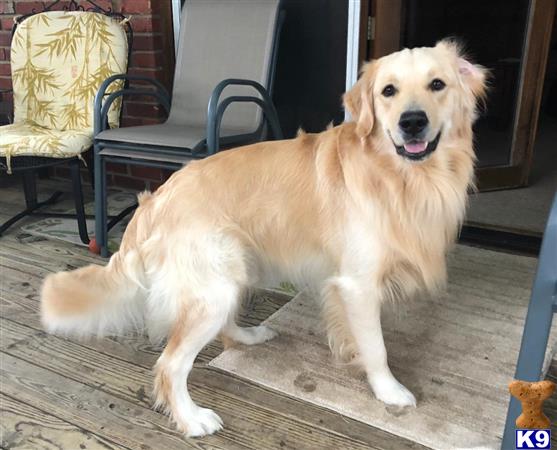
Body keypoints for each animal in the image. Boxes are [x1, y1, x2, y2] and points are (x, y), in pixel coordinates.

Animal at [40, 40, 482, 438]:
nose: (412, 121)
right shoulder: (357, 284)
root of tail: (155, 199)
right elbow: (376, 346)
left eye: (437, 84)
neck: (399, 177)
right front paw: (389, 391)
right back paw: (193, 420)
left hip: (233, 270)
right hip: (214, 283)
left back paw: (249, 336)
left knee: (224, 326)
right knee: (170, 365)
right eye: (388, 91)